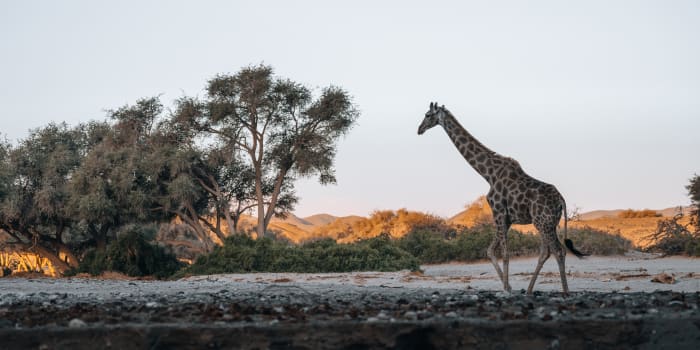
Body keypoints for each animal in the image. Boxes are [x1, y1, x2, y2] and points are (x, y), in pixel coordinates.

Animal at [418, 102, 588, 296]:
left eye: (428, 115)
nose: (419, 129)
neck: (488, 174)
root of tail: (561, 200)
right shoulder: (506, 218)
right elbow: (491, 250)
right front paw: (508, 286)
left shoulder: (498, 211)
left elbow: (504, 253)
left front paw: (506, 288)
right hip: (548, 222)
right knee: (547, 251)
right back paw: (529, 290)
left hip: (542, 222)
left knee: (558, 251)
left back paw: (565, 291)